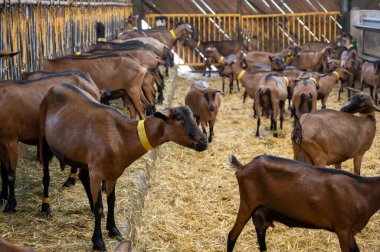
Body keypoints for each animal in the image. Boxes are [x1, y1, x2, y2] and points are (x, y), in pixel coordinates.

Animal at [0, 73, 101, 213]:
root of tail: (89, 80)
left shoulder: (10, 141)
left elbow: (10, 174)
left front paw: (11, 204)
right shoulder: (1, 142)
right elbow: (3, 172)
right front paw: (2, 197)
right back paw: (70, 181)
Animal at [38, 83, 208, 252]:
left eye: (193, 117)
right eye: (179, 119)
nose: (204, 142)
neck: (121, 135)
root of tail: (57, 85)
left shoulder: (113, 173)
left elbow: (112, 200)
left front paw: (113, 230)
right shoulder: (97, 172)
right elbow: (100, 206)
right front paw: (98, 242)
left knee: (83, 177)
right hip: (43, 139)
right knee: (46, 177)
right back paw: (45, 208)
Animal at [229, 154, 380, 252]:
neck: (363, 192)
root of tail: (243, 167)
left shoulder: (350, 232)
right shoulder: (343, 230)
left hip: (262, 211)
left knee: (261, 236)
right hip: (247, 203)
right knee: (232, 236)